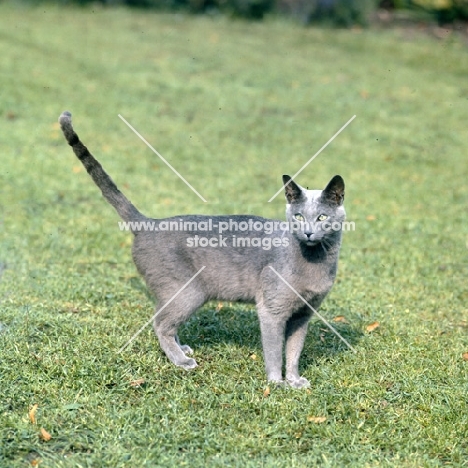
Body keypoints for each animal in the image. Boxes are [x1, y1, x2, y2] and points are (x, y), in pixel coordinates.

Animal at [58, 111, 346, 390]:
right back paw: (181, 361)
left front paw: (295, 381)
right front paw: (277, 384)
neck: (315, 260)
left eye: (321, 217)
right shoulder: (271, 309)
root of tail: (149, 223)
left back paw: (182, 348)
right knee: (160, 323)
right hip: (187, 290)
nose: (307, 232)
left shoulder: (304, 314)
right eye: (298, 217)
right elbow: (275, 351)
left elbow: (295, 350)